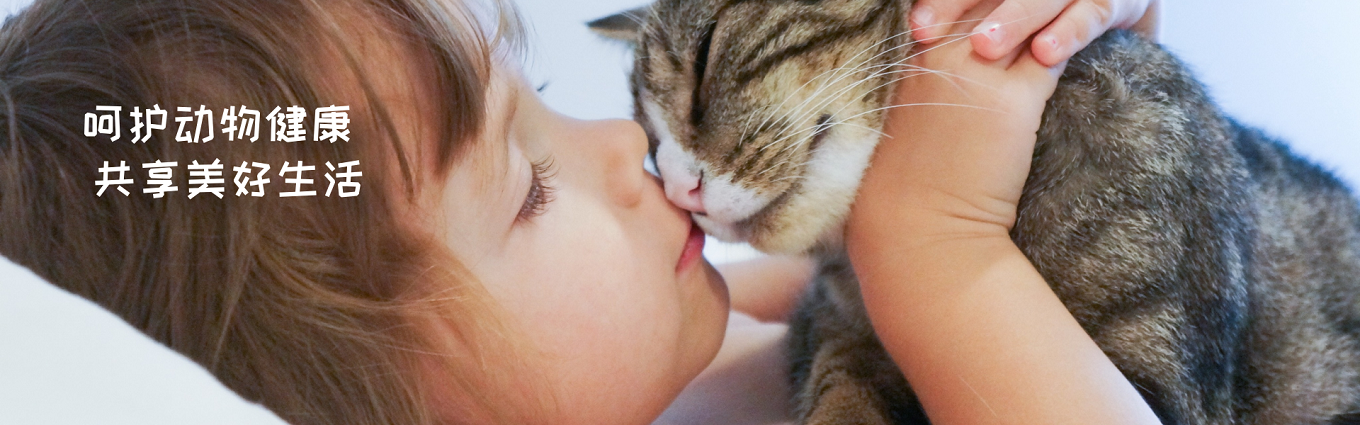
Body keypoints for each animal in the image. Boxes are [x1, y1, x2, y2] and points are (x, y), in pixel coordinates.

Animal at [589, 1, 1360, 424]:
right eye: (650, 139)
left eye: (707, 49)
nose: (678, 189)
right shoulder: (834, 336)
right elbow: (840, 389)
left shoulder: (1154, 379)